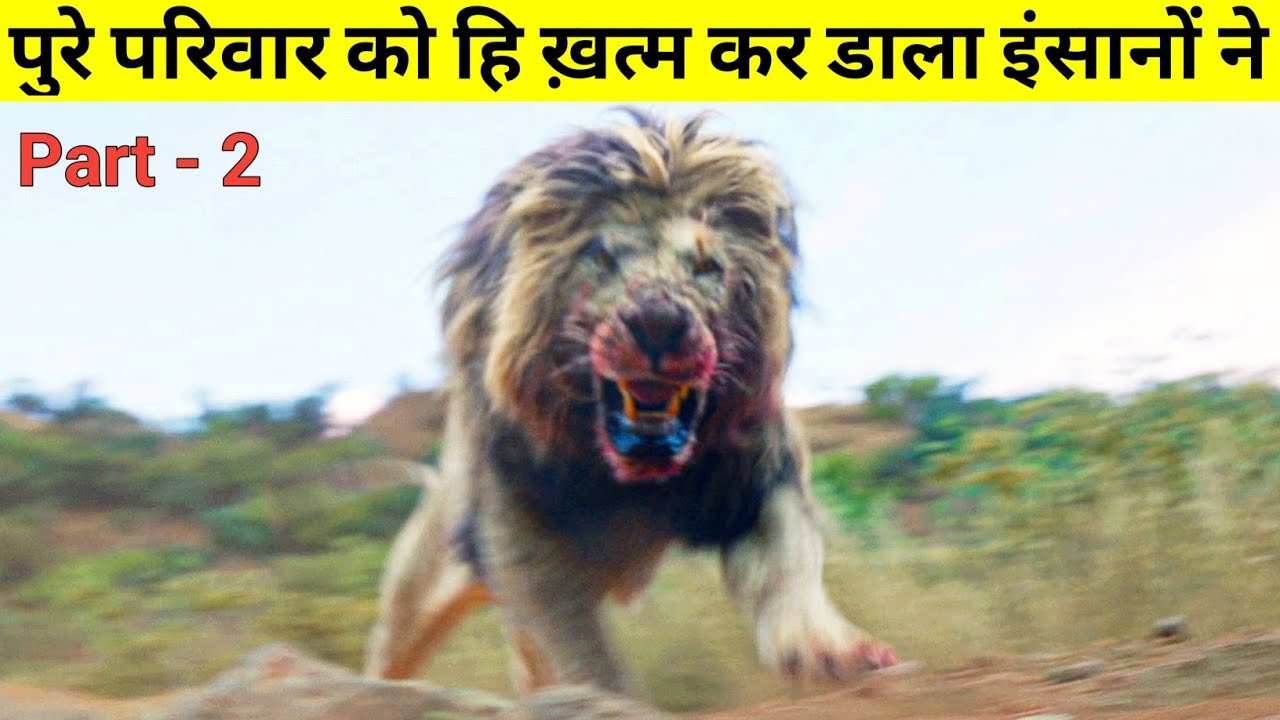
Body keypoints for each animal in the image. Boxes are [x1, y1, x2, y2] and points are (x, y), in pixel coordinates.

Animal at [363, 109, 899, 697]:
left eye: (708, 266)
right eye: (601, 256)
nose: (659, 322)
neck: (629, 479)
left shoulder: (758, 477)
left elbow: (788, 565)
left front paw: (829, 649)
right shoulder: (518, 527)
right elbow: (577, 646)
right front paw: (600, 694)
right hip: (418, 593)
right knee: (393, 652)